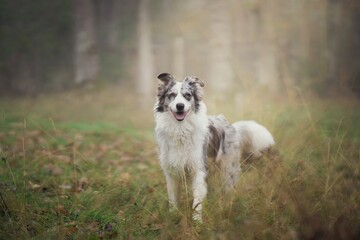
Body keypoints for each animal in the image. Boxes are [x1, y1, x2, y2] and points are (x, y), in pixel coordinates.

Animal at [153, 72, 274, 222]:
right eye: (172, 95)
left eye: (187, 95)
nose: (180, 106)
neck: (180, 129)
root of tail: (231, 127)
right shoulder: (171, 171)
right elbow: (173, 198)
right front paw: (173, 215)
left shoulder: (199, 168)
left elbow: (197, 198)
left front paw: (197, 221)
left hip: (228, 169)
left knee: (228, 189)